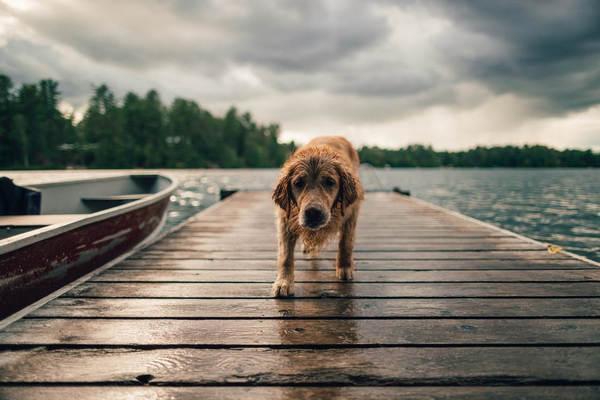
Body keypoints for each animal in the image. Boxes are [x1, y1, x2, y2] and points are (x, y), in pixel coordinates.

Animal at [274, 136, 366, 296]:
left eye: (330, 182)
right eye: (298, 183)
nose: (313, 212)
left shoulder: (351, 212)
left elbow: (345, 242)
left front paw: (344, 267)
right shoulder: (285, 218)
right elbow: (285, 255)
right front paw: (284, 282)